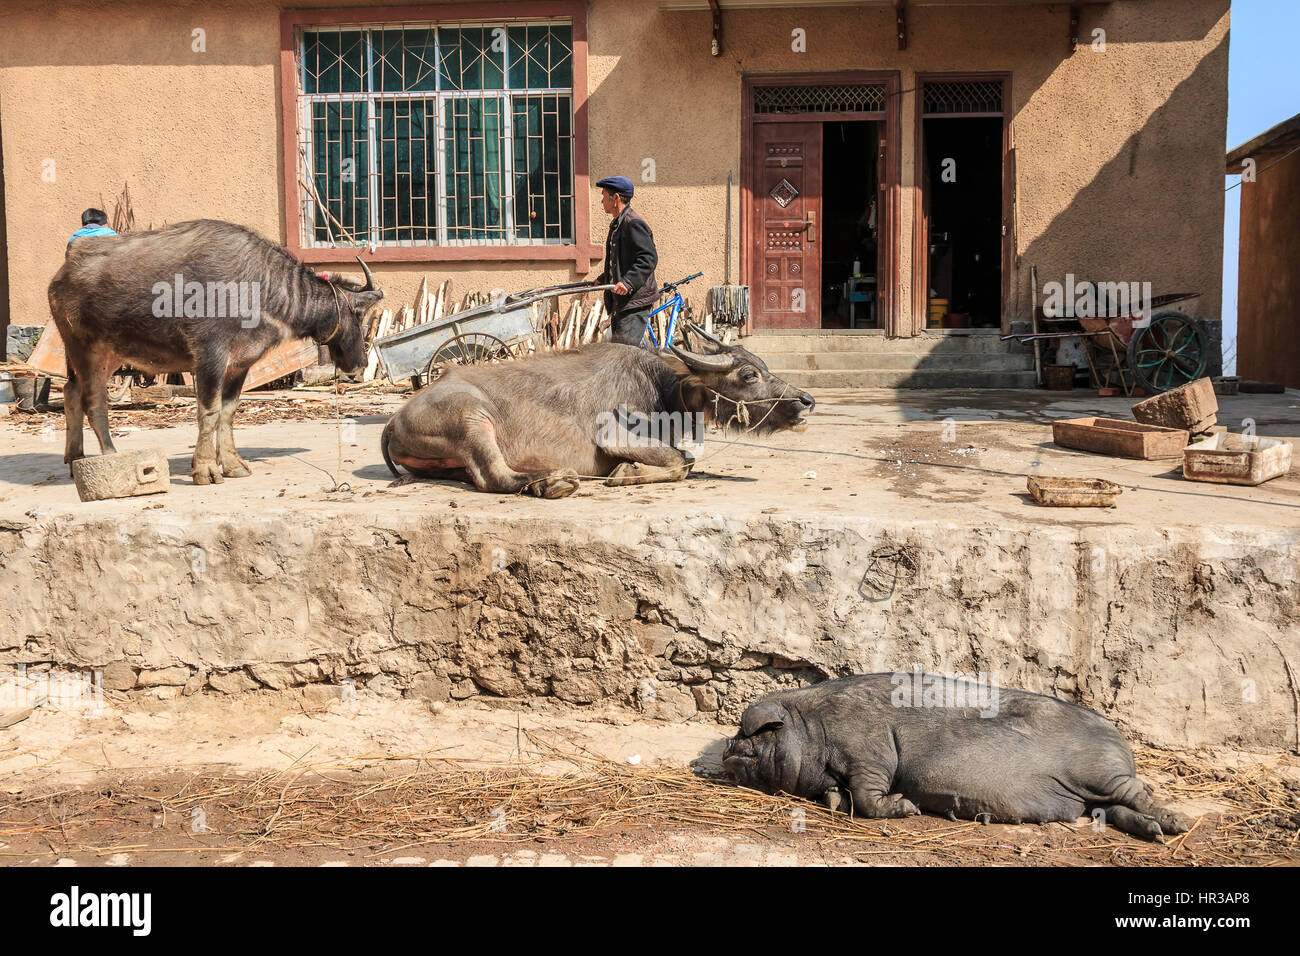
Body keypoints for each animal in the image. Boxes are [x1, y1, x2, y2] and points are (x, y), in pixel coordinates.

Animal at [50, 219, 384, 481]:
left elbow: (228, 412)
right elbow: (208, 412)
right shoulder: (210, 357)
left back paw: (75, 457)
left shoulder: (240, 365)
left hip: (109, 354)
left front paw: (233, 463)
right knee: (93, 400)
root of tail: (62, 274)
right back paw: (109, 454)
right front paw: (205, 468)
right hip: (84, 347)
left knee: (70, 391)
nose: (359, 363)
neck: (257, 288)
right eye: (358, 315)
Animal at [379, 325, 816, 496]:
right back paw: (552, 483)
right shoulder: (615, 436)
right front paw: (626, 473)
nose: (805, 400)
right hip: (472, 417)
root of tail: (393, 420)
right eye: (749, 374)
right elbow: (682, 461)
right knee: (492, 476)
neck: (663, 387)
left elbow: (685, 460)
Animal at [722, 671, 1190, 842]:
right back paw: (1157, 835)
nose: (726, 747)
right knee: (1113, 810)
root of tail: (1122, 744)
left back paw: (1178, 825)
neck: (815, 730)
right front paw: (836, 801)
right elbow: (840, 797)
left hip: (1100, 773)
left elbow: (869, 796)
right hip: (1095, 792)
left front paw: (908, 807)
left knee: (1139, 793)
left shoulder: (871, 751)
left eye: (751, 734)